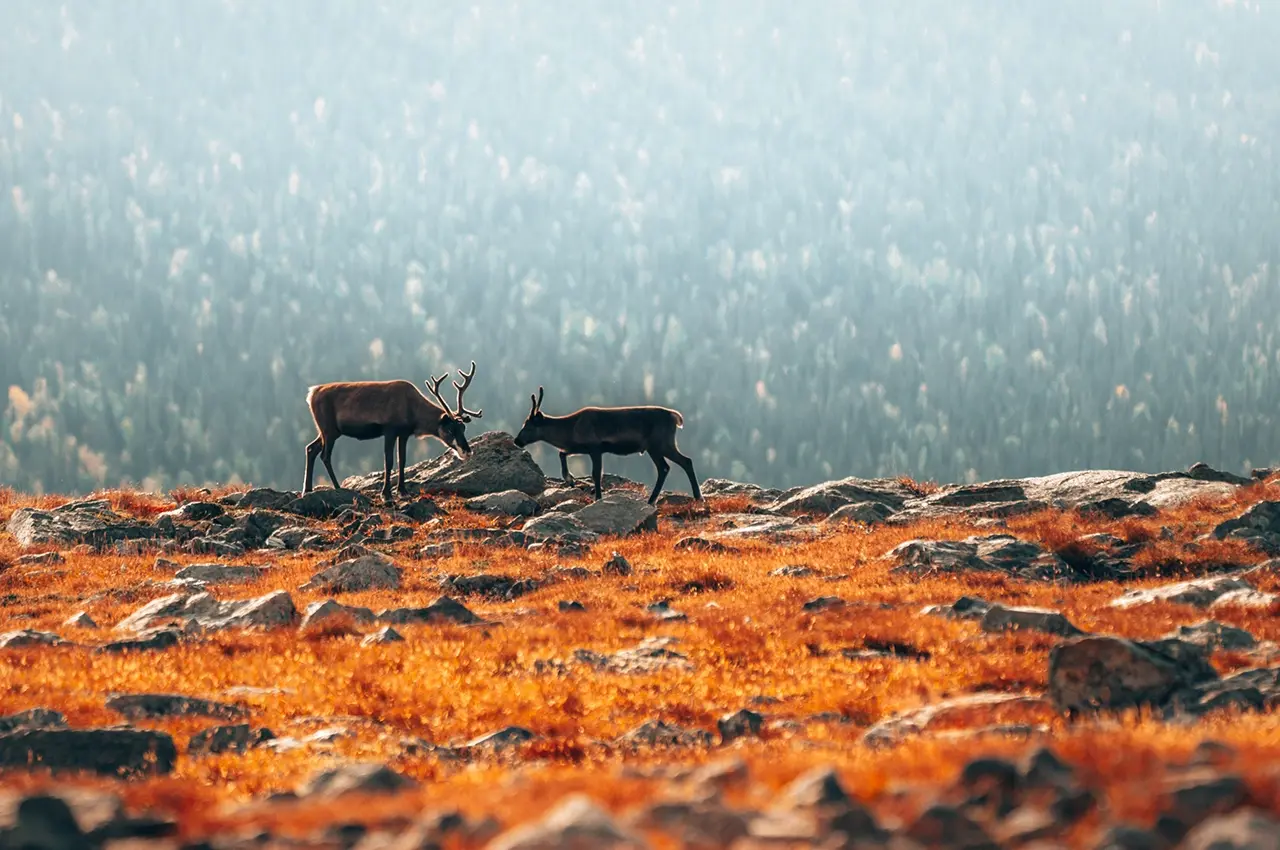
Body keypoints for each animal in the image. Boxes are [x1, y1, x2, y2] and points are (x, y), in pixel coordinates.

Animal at [303, 361, 483, 502]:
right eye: (450, 429)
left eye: (463, 428)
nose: (467, 452)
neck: (413, 411)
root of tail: (311, 394)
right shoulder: (389, 430)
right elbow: (388, 461)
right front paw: (386, 494)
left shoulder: (403, 434)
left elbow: (402, 460)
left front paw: (403, 491)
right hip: (329, 430)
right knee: (325, 455)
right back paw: (337, 487)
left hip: (327, 431)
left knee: (311, 448)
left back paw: (307, 490)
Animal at [512, 386, 702, 505]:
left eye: (528, 426)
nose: (517, 441)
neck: (570, 429)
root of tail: (675, 417)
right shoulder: (579, 448)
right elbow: (562, 453)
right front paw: (570, 479)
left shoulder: (595, 448)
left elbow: (596, 474)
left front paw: (597, 497)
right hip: (655, 447)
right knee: (666, 468)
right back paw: (652, 500)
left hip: (660, 444)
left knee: (683, 462)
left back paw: (697, 497)